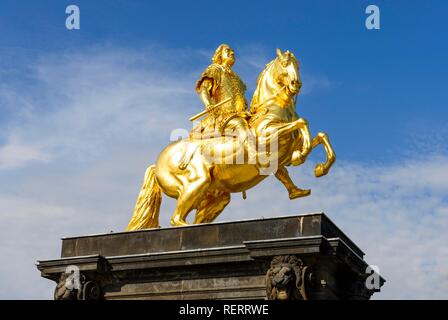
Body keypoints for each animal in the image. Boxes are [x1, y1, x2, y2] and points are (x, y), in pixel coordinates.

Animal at [126, 48, 336, 230]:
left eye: (298, 65)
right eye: (285, 63)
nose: (296, 84)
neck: (274, 108)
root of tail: (156, 164)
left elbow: (320, 136)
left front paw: (320, 169)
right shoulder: (267, 136)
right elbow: (302, 123)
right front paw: (301, 155)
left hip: (215, 198)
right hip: (196, 182)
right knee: (176, 219)